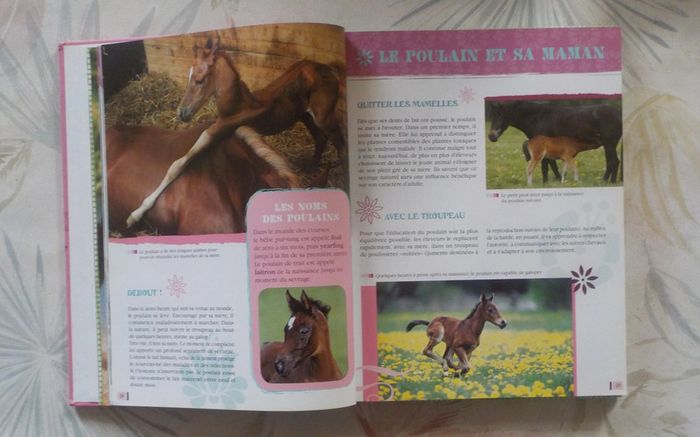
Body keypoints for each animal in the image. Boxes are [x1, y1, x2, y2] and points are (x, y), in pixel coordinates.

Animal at [125, 35, 346, 228]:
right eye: (188, 77)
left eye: (199, 80)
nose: (182, 113)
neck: (236, 106)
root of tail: (327, 68)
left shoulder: (216, 131)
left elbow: (177, 165)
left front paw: (135, 215)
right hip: (306, 116)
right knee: (320, 139)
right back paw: (310, 167)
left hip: (323, 117)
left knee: (340, 143)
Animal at [488, 100, 622, 183]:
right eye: (492, 116)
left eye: (501, 116)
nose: (491, 137)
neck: (538, 118)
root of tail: (619, 113)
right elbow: (553, 165)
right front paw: (557, 180)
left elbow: (545, 166)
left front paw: (545, 182)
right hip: (609, 145)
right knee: (614, 162)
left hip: (609, 144)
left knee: (613, 162)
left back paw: (606, 181)